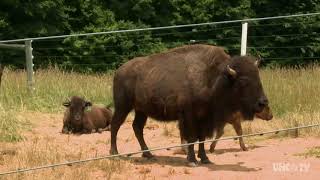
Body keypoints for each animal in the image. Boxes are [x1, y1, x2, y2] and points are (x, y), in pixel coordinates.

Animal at [110, 44, 272, 167]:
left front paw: (205, 159)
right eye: (243, 81)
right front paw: (192, 160)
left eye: (258, 77)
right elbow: (192, 137)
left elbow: (202, 138)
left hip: (141, 110)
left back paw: (148, 154)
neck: (213, 77)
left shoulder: (205, 117)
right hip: (123, 106)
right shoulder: (189, 116)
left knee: (137, 127)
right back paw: (115, 153)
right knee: (115, 125)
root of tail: (119, 71)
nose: (262, 103)